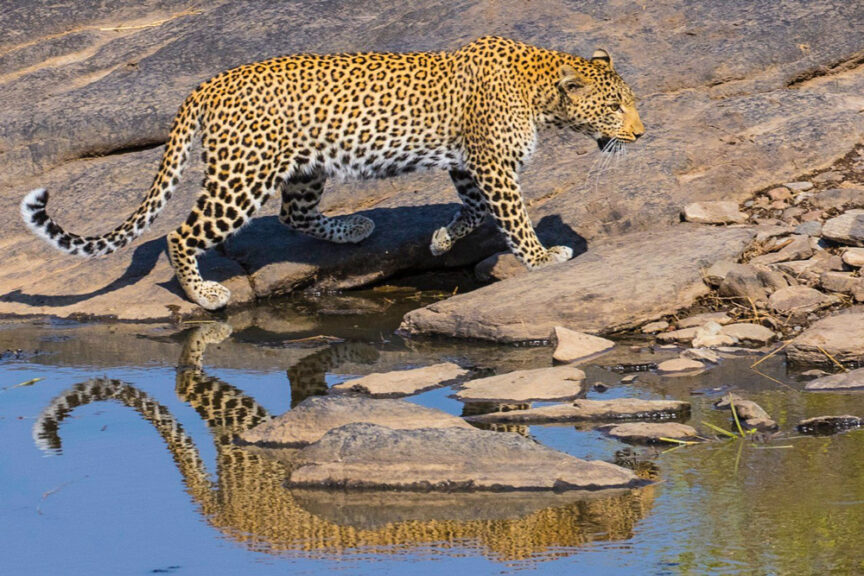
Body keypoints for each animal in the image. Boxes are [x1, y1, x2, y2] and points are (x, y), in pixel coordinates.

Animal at [21, 36, 644, 310]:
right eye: (616, 107)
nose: (640, 134)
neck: (541, 91)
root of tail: (208, 83)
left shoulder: (470, 164)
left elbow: (471, 208)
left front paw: (442, 239)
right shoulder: (492, 163)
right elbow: (513, 216)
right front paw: (542, 257)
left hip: (303, 167)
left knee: (293, 215)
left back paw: (353, 229)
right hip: (242, 176)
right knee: (181, 233)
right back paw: (204, 293)